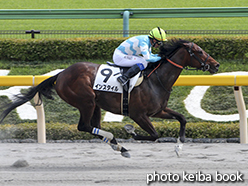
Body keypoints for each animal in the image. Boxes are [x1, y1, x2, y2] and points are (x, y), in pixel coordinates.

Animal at [0, 38, 219, 157]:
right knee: (84, 126)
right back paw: (117, 142)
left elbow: (182, 119)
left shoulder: (159, 110)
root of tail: (60, 74)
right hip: (86, 100)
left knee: (92, 127)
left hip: (95, 104)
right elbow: (154, 135)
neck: (157, 79)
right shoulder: (139, 115)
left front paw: (180, 146)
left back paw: (117, 145)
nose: (216, 65)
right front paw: (131, 131)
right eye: (199, 51)